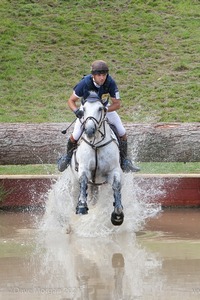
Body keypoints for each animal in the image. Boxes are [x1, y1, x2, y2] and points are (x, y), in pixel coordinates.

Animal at [70, 94, 123, 225]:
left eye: (100, 109)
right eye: (83, 109)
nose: (89, 131)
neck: (96, 144)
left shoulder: (113, 170)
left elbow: (116, 186)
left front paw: (118, 215)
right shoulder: (84, 168)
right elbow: (83, 181)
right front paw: (82, 207)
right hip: (74, 179)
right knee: (75, 192)